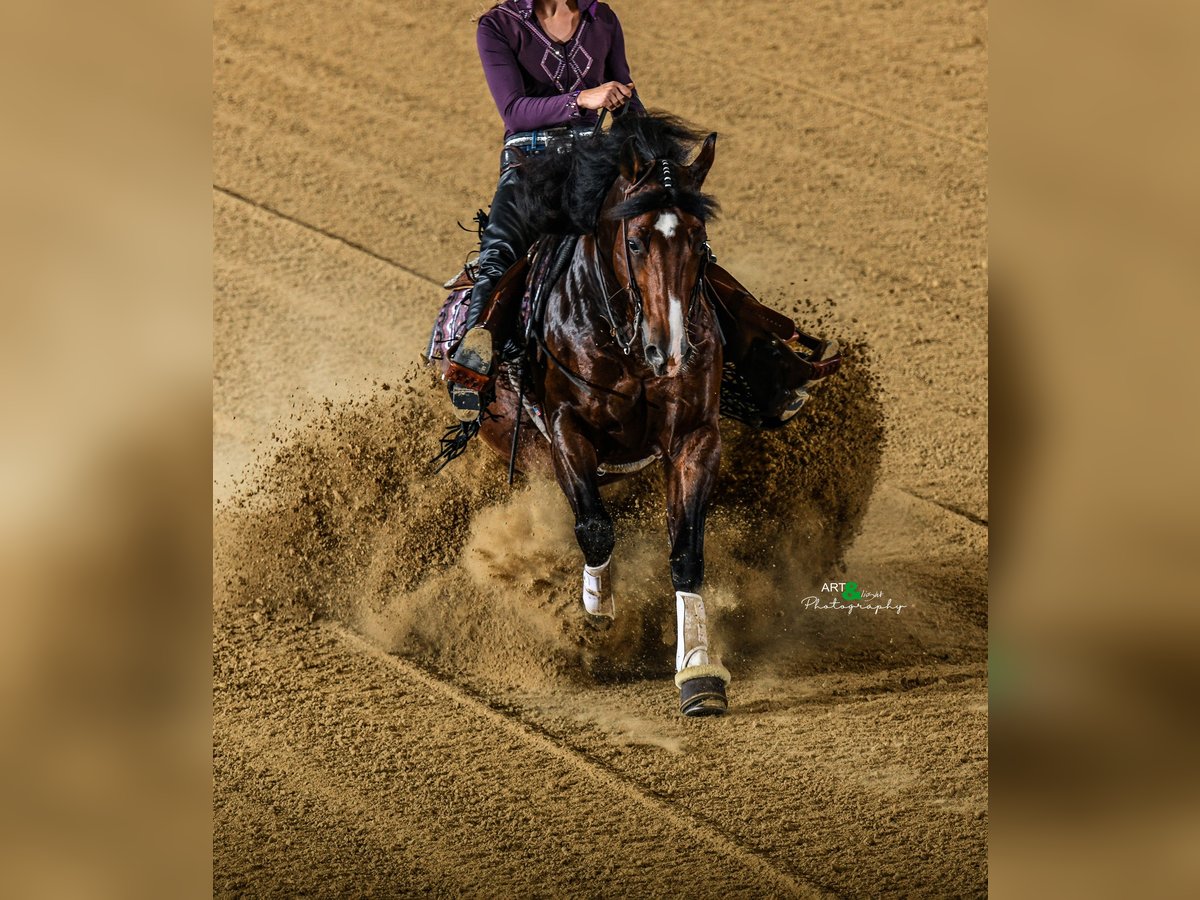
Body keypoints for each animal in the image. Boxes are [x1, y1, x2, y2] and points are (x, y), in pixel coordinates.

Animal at [432, 114, 729, 720]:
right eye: (635, 240)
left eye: (699, 242)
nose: (671, 351)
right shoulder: (567, 431)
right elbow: (594, 527)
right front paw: (597, 612)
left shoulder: (696, 437)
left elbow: (686, 549)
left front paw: (698, 673)